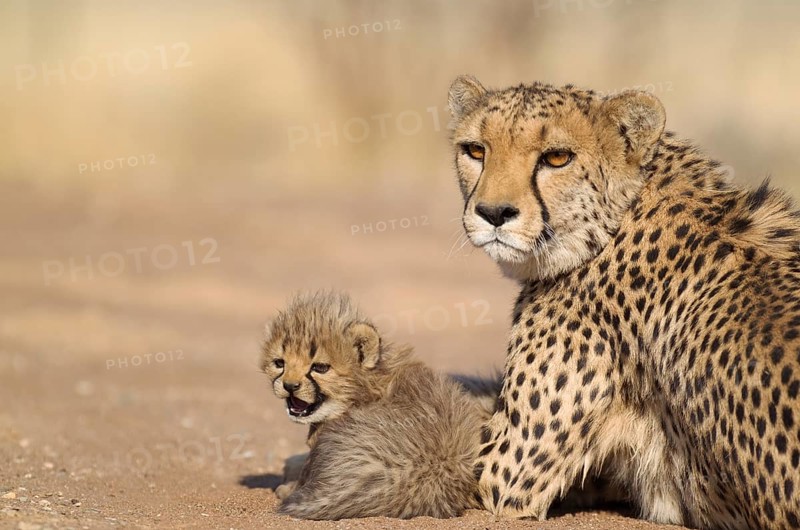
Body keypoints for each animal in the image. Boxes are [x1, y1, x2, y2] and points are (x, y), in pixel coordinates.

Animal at [260, 291, 498, 520]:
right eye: (279, 363)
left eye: (320, 367)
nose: (290, 386)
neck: (369, 386)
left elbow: (304, 471)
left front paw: (287, 485)